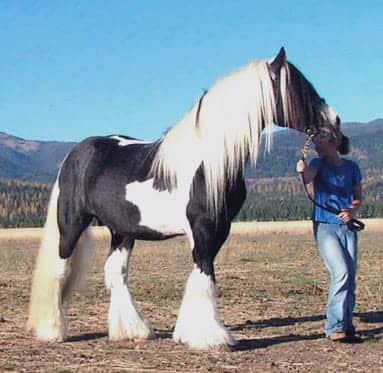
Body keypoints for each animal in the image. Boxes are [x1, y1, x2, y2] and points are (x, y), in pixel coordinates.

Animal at [27, 48, 344, 348]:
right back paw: (52, 331)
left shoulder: (219, 228)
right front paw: (210, 337)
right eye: (300, 87)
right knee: (60, 270)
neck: (208, 163)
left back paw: (133, 331)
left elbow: (202, 273)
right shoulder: (202, 228)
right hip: (72, 224)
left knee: (115, 272)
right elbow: (204, 273)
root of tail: (77, 153)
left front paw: (190, 333)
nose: (337, 126)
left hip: (122, 230)